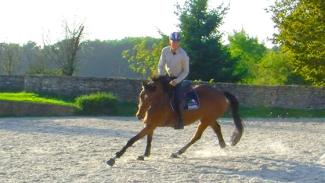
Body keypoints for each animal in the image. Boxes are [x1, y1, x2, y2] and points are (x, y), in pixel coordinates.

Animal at [107, 75, 243, 167]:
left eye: (147, 97)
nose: (138, 115)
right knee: (217, 128)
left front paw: (115, 157)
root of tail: (220, 92)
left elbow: (132, 139)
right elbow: (149, 139)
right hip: (208, 118)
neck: (158, 102)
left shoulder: (151, 124)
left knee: (197, 136)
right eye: (140, 96)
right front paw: (145, 154)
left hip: (205, 120)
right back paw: (223, 146)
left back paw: (178, 152)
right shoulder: (150, 125)